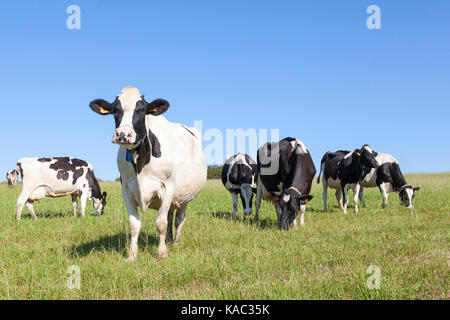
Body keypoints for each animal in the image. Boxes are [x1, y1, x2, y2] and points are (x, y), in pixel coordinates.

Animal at [88, 87, 207, 260]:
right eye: (115, 110)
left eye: (142, 110)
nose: (123, 134)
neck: (140, 161)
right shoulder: (126, 189)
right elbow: (134, 225)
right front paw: (132, 255)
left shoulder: (168, 187)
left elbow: (161, 223)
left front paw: (162, 253)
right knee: (170, 215)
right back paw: (169, 239)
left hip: (184, 197)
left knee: (179, 219)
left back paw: (175, 242)